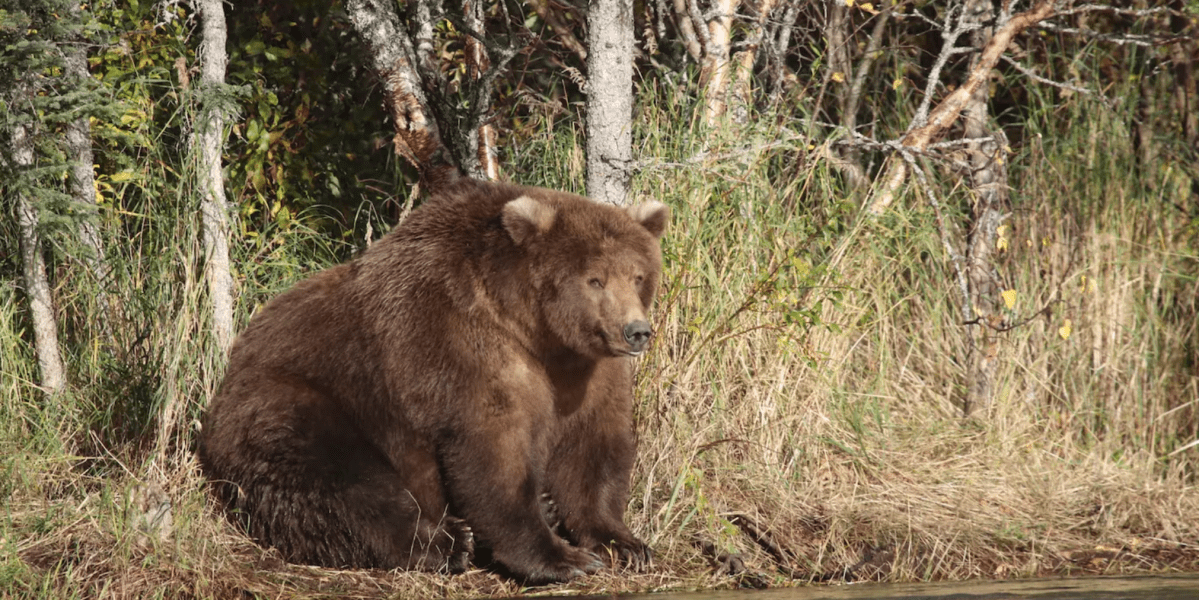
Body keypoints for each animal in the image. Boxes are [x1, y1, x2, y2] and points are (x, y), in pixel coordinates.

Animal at [197, 177, 668, 584]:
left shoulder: (586, 372)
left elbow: (593, 447)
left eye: (638, 275)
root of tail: (226, 378)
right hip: (297, 404)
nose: (636, 331)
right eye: (595, 279)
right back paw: (448, 541)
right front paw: (561, 557)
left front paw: (624, 544)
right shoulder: (459, 345)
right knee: (342, 482)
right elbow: (493, 451)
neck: (535, 331)